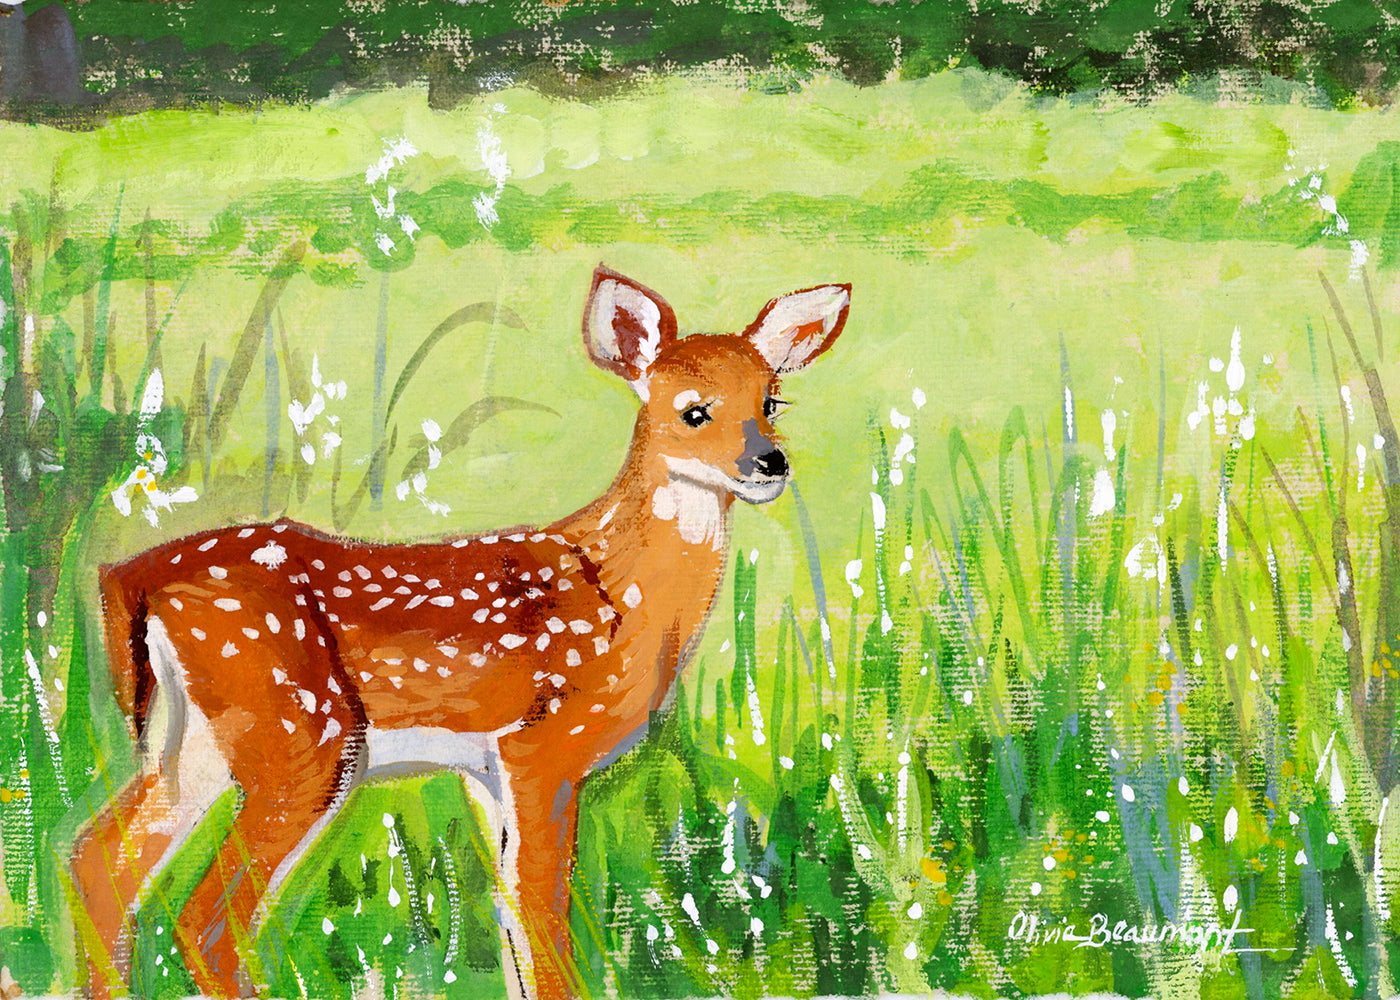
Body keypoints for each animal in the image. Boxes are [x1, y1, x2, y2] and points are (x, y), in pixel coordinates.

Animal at [70, 265, 851, 999]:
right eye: (693, 411)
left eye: (771, 401)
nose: (769, 463)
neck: (622, 595)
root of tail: (130, 575)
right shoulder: (545, 747)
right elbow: (542, 922)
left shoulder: (488, 771)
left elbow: (510, 925)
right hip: (300, 737)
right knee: (206, 920)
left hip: (198, 741)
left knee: (96, 863)